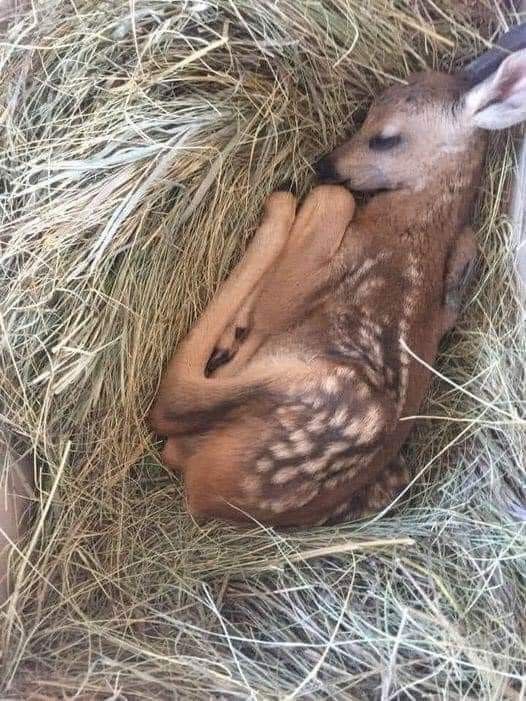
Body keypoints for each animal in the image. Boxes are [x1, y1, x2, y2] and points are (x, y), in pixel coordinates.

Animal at [150, 24, 526, 527]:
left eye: (385, 138)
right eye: (366, 113)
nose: (324, 165)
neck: (414, 223)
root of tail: (213, 494)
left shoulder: (325, 270)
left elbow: (333, 204)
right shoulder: (459, 255)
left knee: (173, 409)